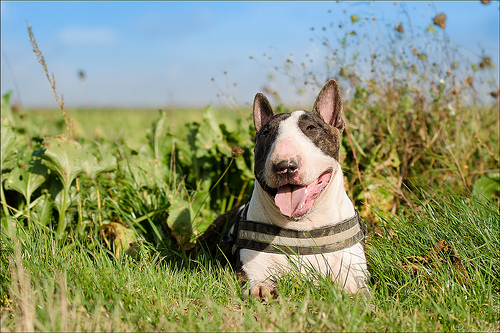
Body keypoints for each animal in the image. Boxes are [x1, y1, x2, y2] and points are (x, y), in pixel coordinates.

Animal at [198, 80, 368, 298]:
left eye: (311, 127)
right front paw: (261, 289)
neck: (301, 228)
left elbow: (359, 290)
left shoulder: (353, 269)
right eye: (266, 133)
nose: (285, 166)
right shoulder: (249, 266)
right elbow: (256, 279)